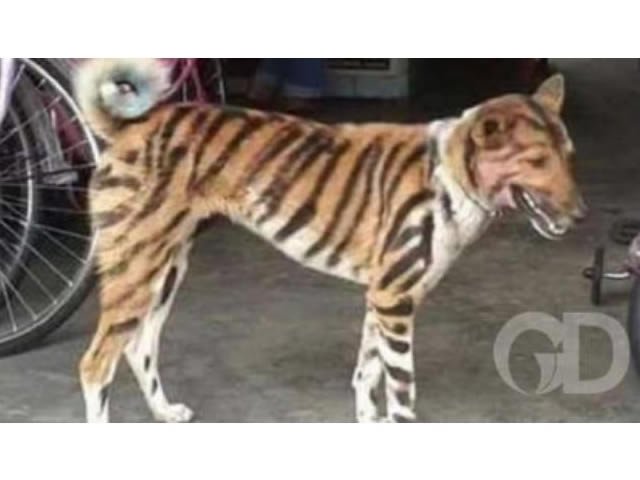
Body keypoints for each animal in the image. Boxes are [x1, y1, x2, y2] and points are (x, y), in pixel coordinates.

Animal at [74, 59, 585, 423]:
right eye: (537, 160)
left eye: (567, 155)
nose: (581, 216)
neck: (450, 176)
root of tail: (130, 125)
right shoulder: (394, 301)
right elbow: (402, 394)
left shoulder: (384, 298)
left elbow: (366, 376)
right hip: (135, 270)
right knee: (96, 366)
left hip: (165, 270)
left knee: (138, 347)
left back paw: (164, 412)